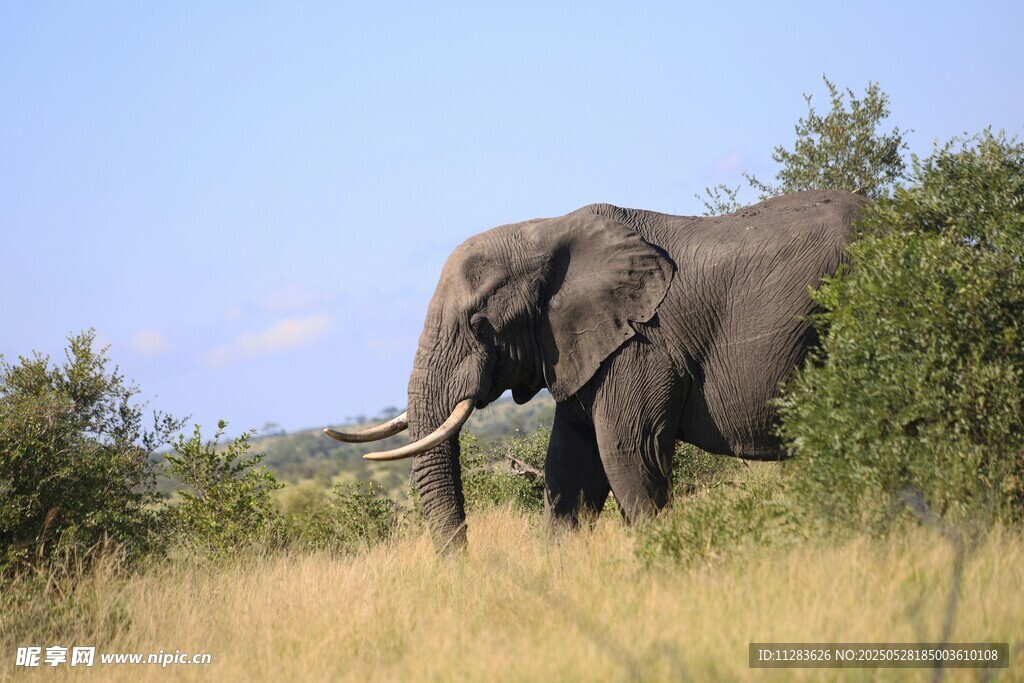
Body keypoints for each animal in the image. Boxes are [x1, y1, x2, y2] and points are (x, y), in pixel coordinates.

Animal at [326, 189, 865, 551]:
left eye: (479, 324)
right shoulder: (584, 348)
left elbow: (628, 452)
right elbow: (571, 466)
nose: (462, 570)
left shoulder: (642, 343)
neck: (546, 232)